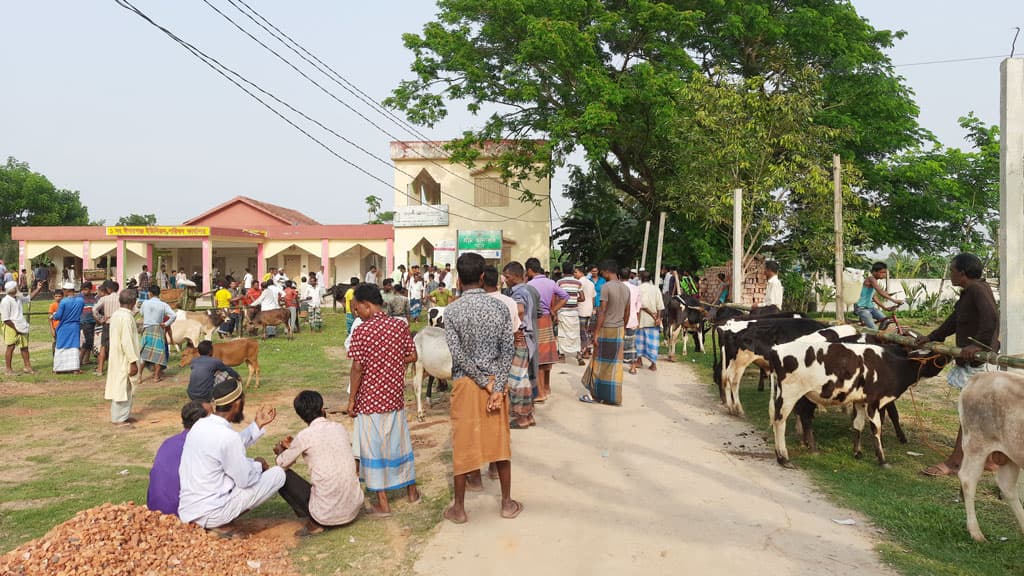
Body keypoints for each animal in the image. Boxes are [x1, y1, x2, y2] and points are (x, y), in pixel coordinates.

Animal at [770, 340, 942, 467]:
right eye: (932, 356)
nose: (945, 357)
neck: (892, 367)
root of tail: (777, 349)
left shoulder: (860, 400)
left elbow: (858, 424)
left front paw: (857, 452)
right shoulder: (873, 402)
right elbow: (876, 428)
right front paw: (882, 459)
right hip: (790, 395)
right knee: (780, 421)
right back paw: (783, 458)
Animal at [958, 368, 1024, 541]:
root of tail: (980, 376)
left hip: (1010, 454)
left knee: (1007, 486)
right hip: (976, 444)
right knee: (968, 479)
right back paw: (976, 533)